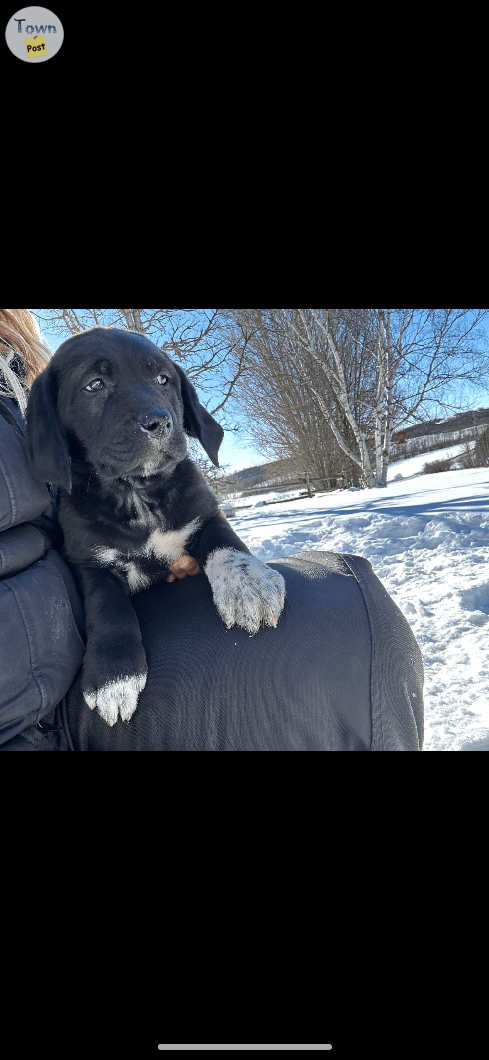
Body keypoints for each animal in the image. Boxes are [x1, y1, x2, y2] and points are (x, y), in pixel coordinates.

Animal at [25, 326, 286, 725]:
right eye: (94, 385)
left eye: (163, 380)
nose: (159, 422)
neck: (138, 495)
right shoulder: (89, 562)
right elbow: (108, 608)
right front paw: (114, 675)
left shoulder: (205, 514)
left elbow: (226, 546)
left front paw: (248, 584)